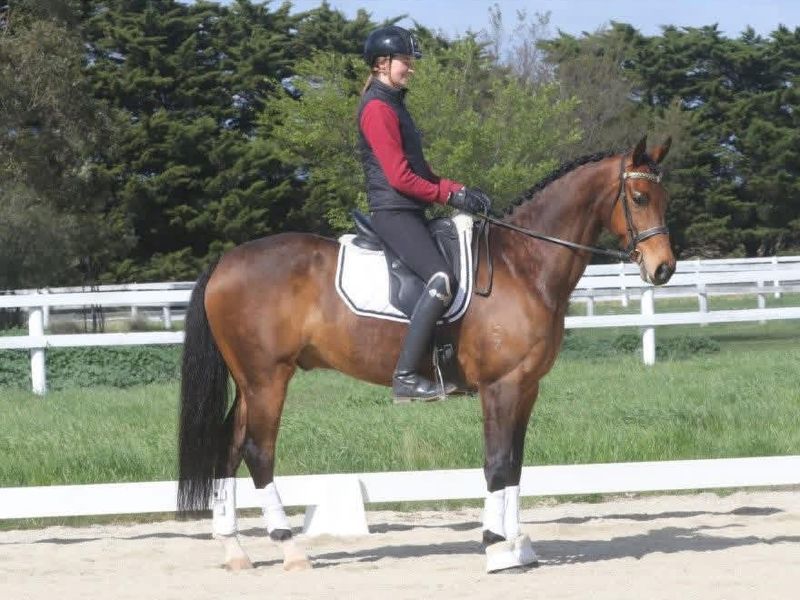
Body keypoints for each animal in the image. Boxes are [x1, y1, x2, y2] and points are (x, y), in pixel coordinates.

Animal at [177, 135, 676, 572]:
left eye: (663, 197)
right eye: (637, 196)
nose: (663, 269)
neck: (523, 264)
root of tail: (225, 261)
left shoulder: (526, 387)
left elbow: (515, 464)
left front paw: (519, 545)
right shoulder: (501, 386)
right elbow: (497, 462)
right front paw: (495, 548)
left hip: (250, 383)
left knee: (229, 448)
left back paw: (235, 551)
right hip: (268, 379)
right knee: (258, 451)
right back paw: (290, 549)